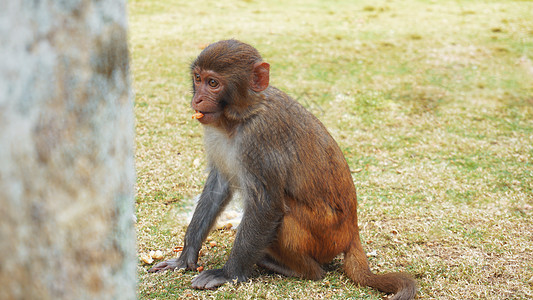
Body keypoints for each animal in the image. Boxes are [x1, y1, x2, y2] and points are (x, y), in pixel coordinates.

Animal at [149, 39, 416, 300]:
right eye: (198, 78)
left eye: (213, 83)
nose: (197, 100)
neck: (241, 116)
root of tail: (352, 232)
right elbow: (218, 187)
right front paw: (185, 257)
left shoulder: (261, 138)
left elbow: (267, 205)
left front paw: (228, 273)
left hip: (325, 237)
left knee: (285, 216)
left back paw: (298, 269)